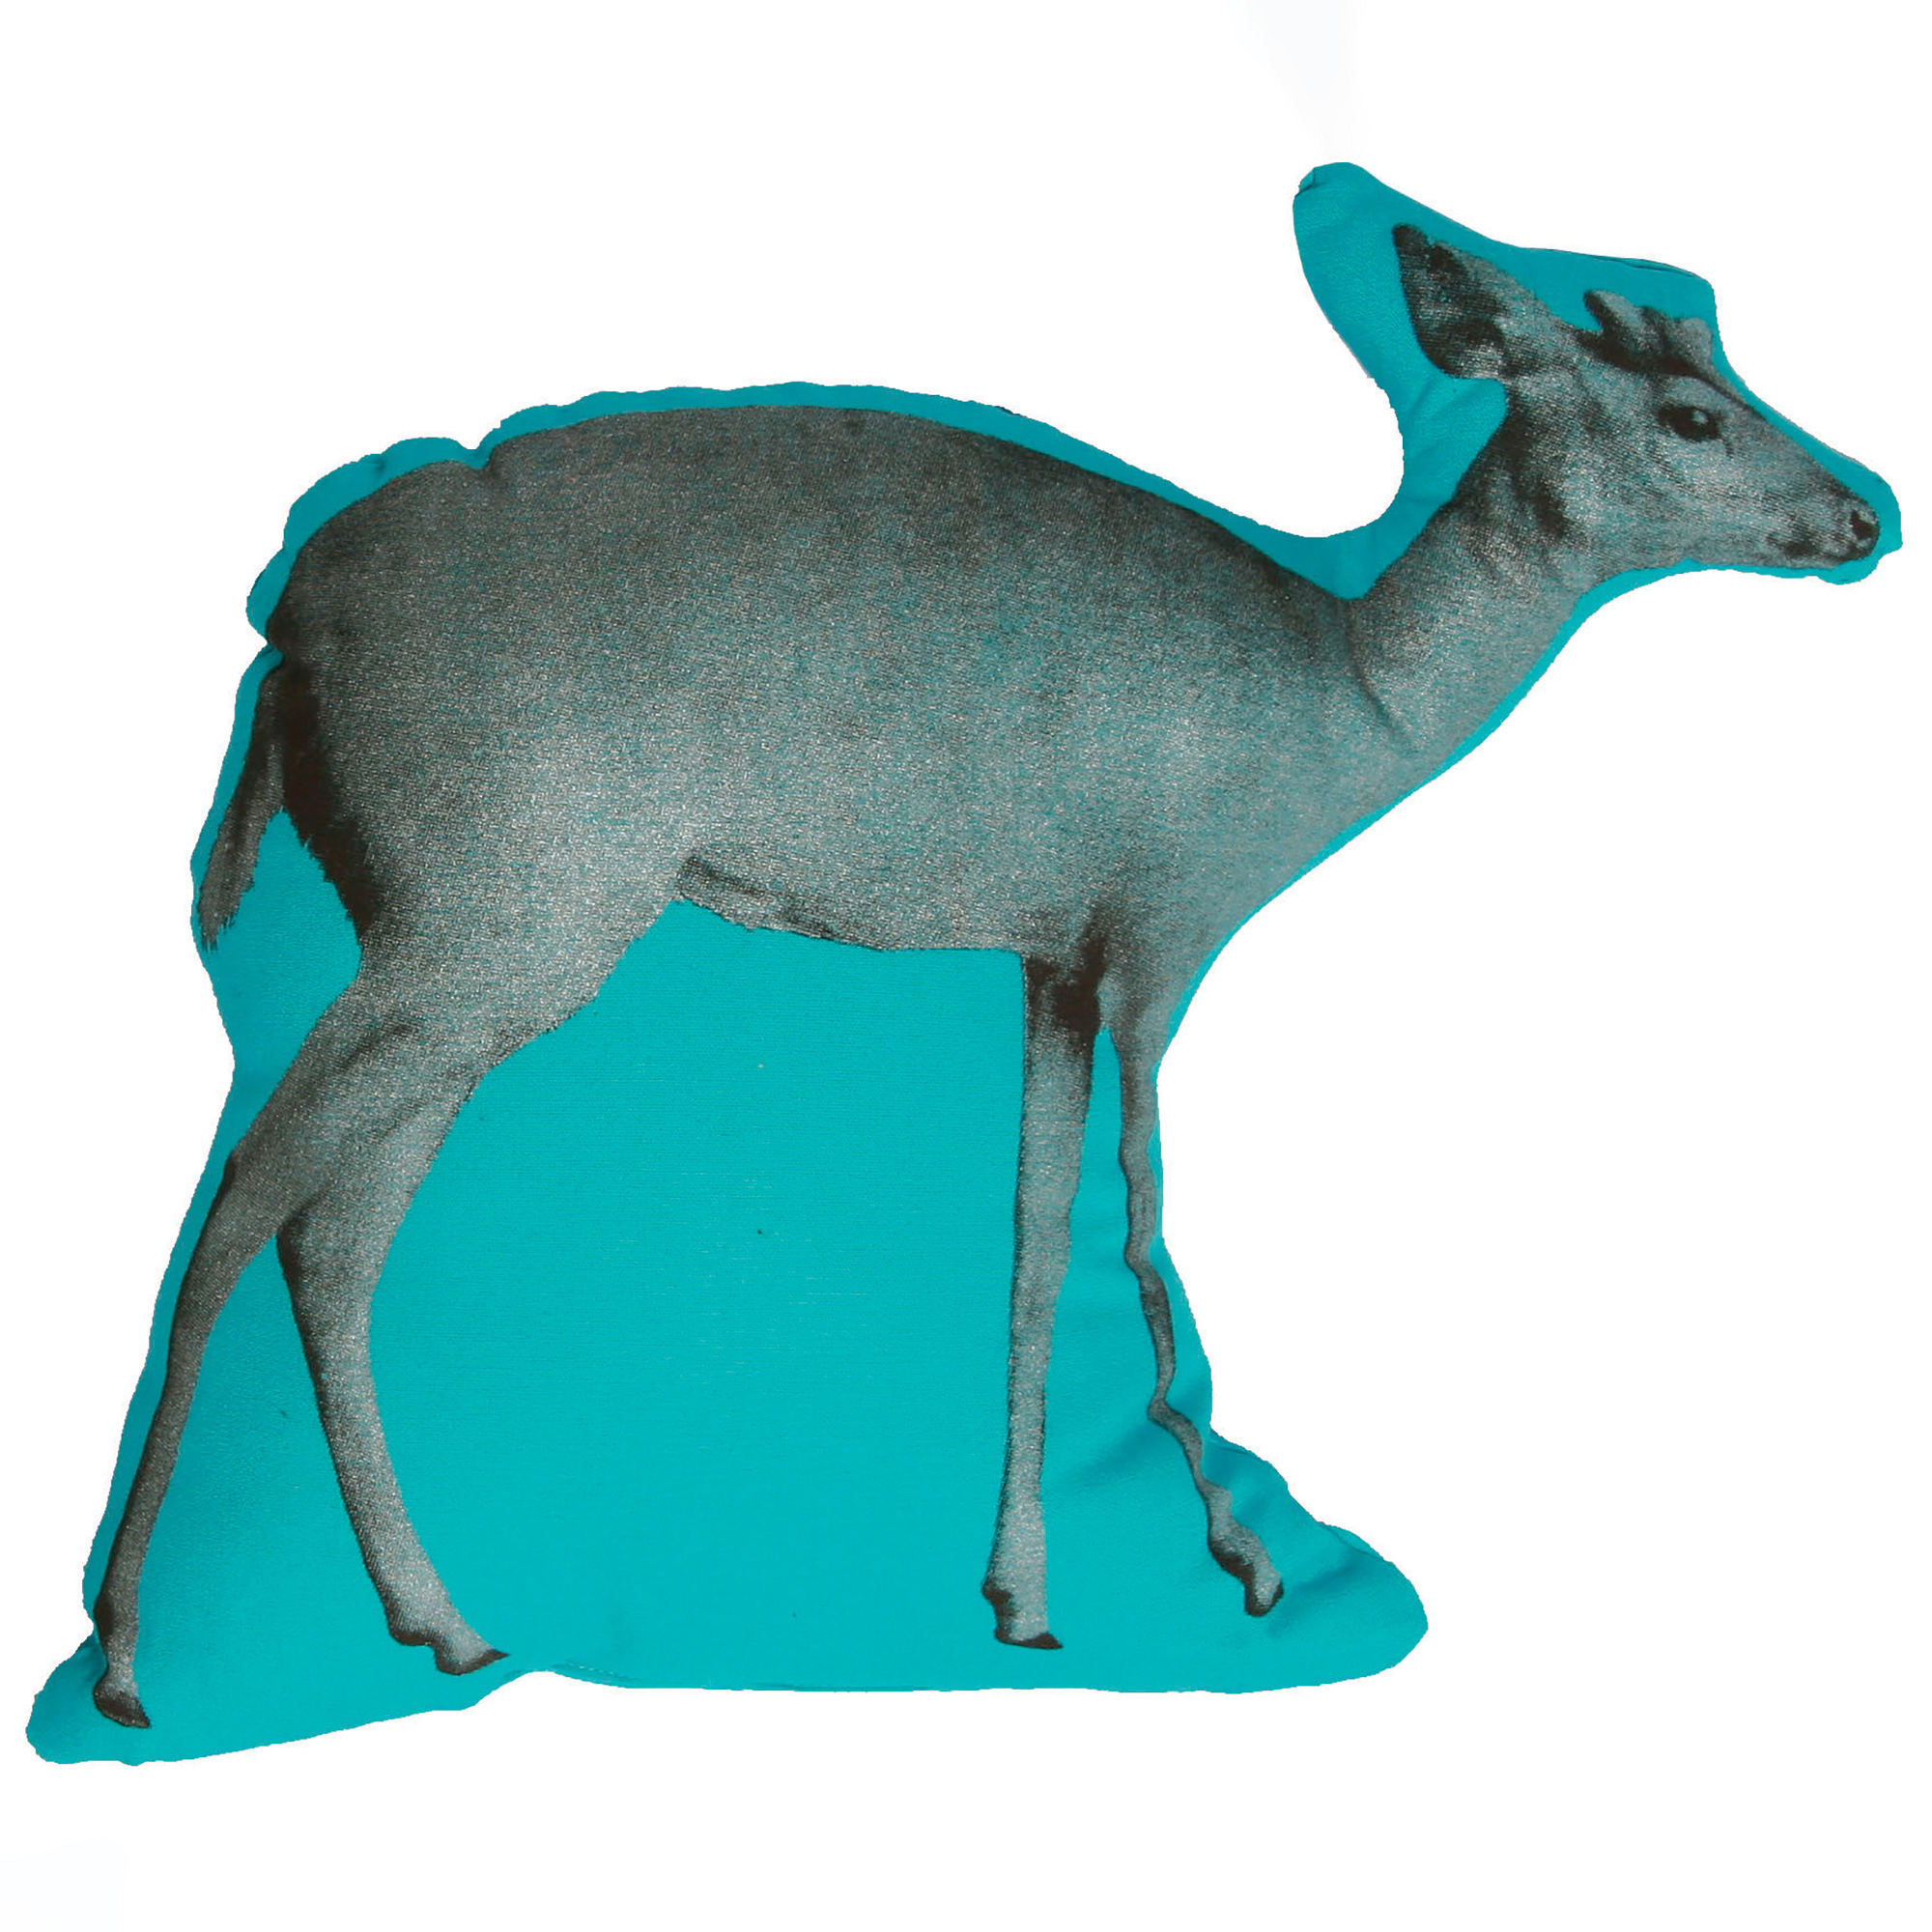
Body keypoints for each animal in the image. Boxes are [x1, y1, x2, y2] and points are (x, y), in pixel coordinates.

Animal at [87, 187, 1888, 1730]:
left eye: (1728, 371)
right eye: (1693, 415)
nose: (1861, 511)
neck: (1345, 695)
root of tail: (287, 628)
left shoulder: (1052, 959)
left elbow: (1031, 1253)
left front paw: (1022, 1598)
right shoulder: (1163, 933)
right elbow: (1139, 1228)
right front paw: (1238, 1557)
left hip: (468, 961)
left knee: (332, 1235)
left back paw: (443, 1624)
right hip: (499, 925)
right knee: (249, 1196)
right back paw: (125, 1658)